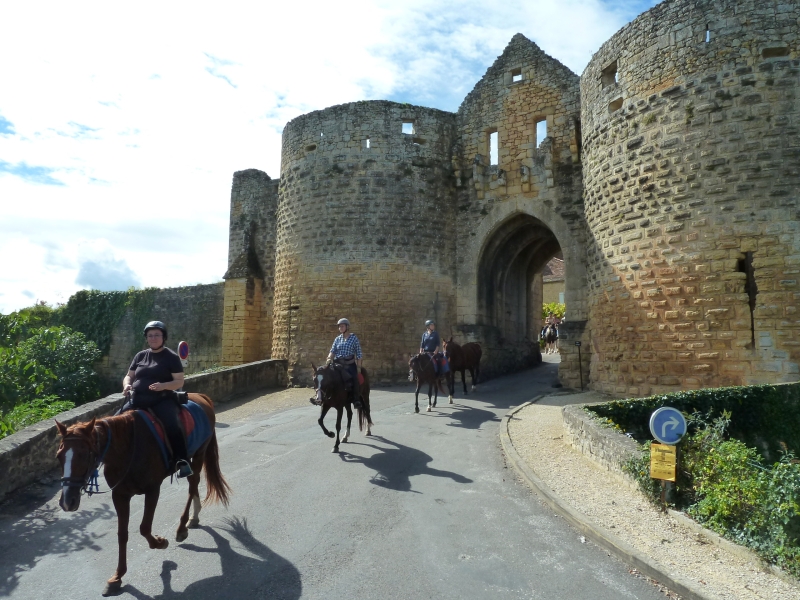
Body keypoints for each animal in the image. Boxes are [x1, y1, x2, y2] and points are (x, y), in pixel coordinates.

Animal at [55, 394, 231, 596]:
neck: (127, 449)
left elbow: (144, 528)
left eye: (84, 455)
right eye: (58, 456)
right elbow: (122, 534)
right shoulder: (120, 495)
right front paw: (117, 577)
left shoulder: (152, 489)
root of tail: (201, 396)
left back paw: (182, 528)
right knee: (193, 484)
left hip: (200, 452)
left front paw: (160, 543)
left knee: (193, 484)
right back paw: (193, 518)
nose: (67, 501)